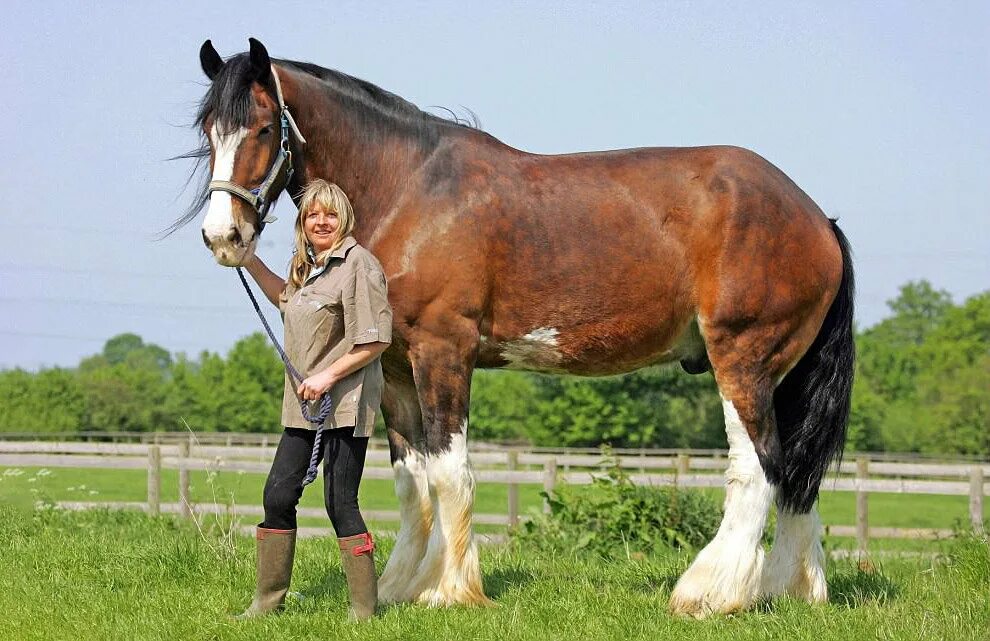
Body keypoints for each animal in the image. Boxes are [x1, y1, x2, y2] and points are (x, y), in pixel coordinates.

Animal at [186, 38, 852, 616]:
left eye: (263, 127)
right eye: (207, 131)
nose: (223, 238)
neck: (409, 189)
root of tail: (816, 216)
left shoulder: (443, 351)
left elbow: (450, 471)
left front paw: (451, 591)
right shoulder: (395, 367)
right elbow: (412, 481)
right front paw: (400, 586)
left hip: (742, 359)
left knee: (757, 468)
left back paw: (709, 593)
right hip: (780, 374)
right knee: (795, 474)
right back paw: (793, 590)